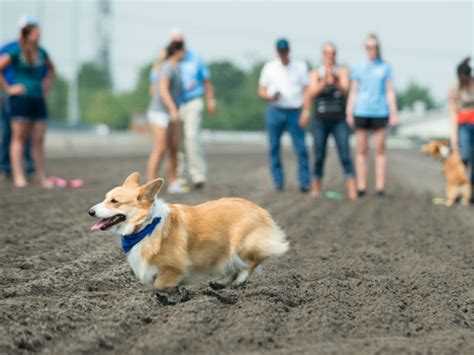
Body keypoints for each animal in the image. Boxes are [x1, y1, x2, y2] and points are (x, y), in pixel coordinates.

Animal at [88, 174, 288, 302]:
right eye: (105, 198)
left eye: (114, 201)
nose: (90, 211)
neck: (146, 226)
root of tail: (261, 209)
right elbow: (157, 286)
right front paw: (173, 296)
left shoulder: (173, 268)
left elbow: (159, 284)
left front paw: (173, 294)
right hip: (224, 251)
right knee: (233, 267)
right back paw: (219, 283)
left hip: (241, 244)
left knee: (252, 262)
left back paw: (238, 281)